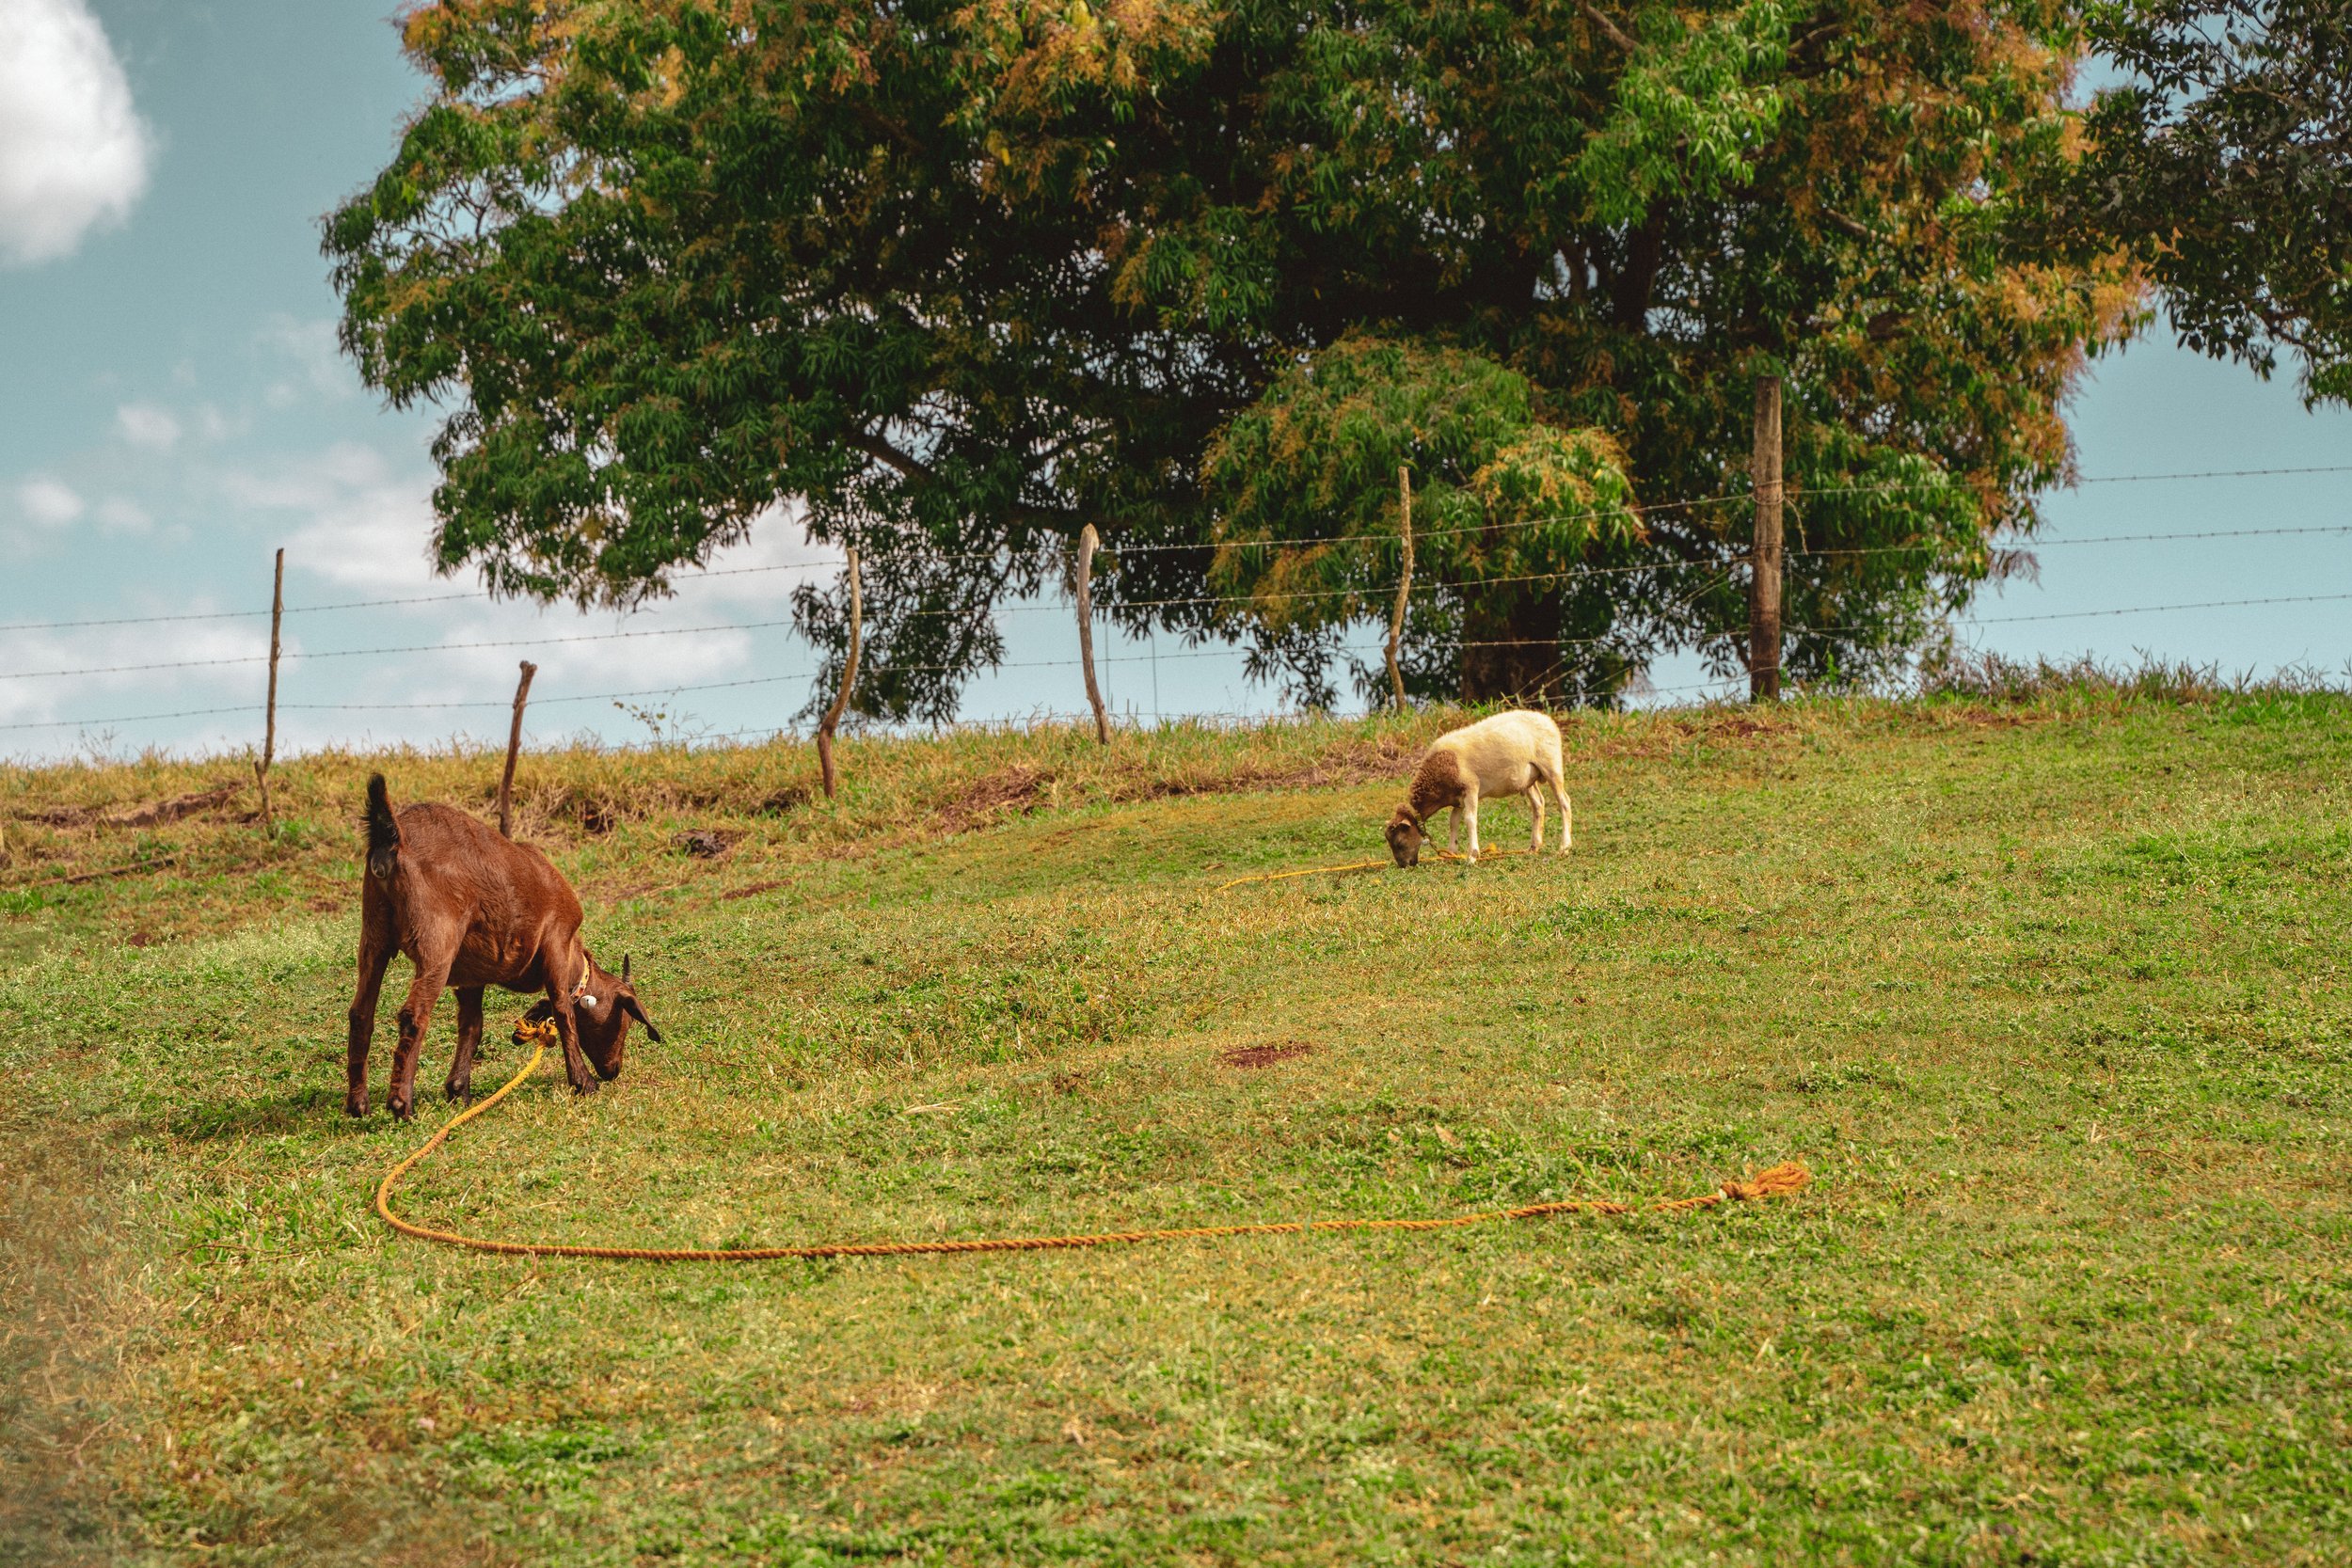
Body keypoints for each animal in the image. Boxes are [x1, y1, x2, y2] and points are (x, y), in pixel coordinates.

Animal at [348, 774, 662, 1120]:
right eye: (625, 1020)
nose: (612, 1070)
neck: (574, 958)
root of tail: (393, 838)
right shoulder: (555, 941)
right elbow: (564, 1011)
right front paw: (582, 1082)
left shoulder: (470, 977)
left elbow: (472, 1027)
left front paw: (459, 1091)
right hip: (437, 942)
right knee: (413, 1015)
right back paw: (401, 1103)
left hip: (374, 933)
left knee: (361, 1013)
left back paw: (358, 1104)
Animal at [1386, 710, 1572, 866]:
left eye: (1399, 842)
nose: (1404, 865)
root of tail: (1548, 720)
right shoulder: (1458, 797)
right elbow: (1453, 822)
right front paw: (1451, 852)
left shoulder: (1471, 787)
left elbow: (1469, 820)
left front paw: (1472, 856)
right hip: (1528, 778)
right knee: (1538, 803)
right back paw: (1534, 846)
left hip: (1551, 765)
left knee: (1564, 802)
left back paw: (1565, 848)